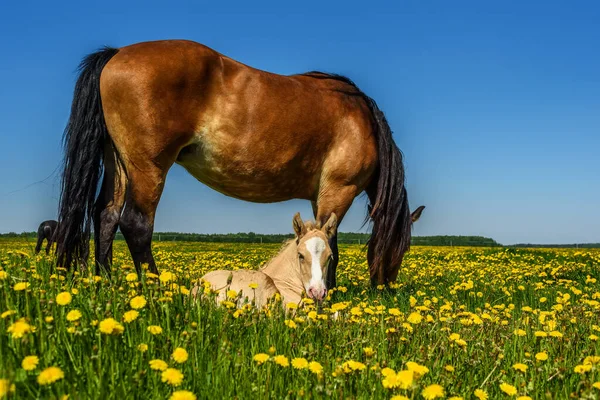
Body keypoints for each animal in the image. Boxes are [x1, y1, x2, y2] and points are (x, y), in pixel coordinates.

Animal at [56, 39, 414, 288]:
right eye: (405, 247)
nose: (386, 289)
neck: (360, 118)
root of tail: (117, 54)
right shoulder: (338, 191)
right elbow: (331, 246)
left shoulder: (321, 197)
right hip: (149, 168)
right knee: (135, 223)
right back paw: (155, 288)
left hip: (118, 163)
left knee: (106, 216)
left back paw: (107, 283)